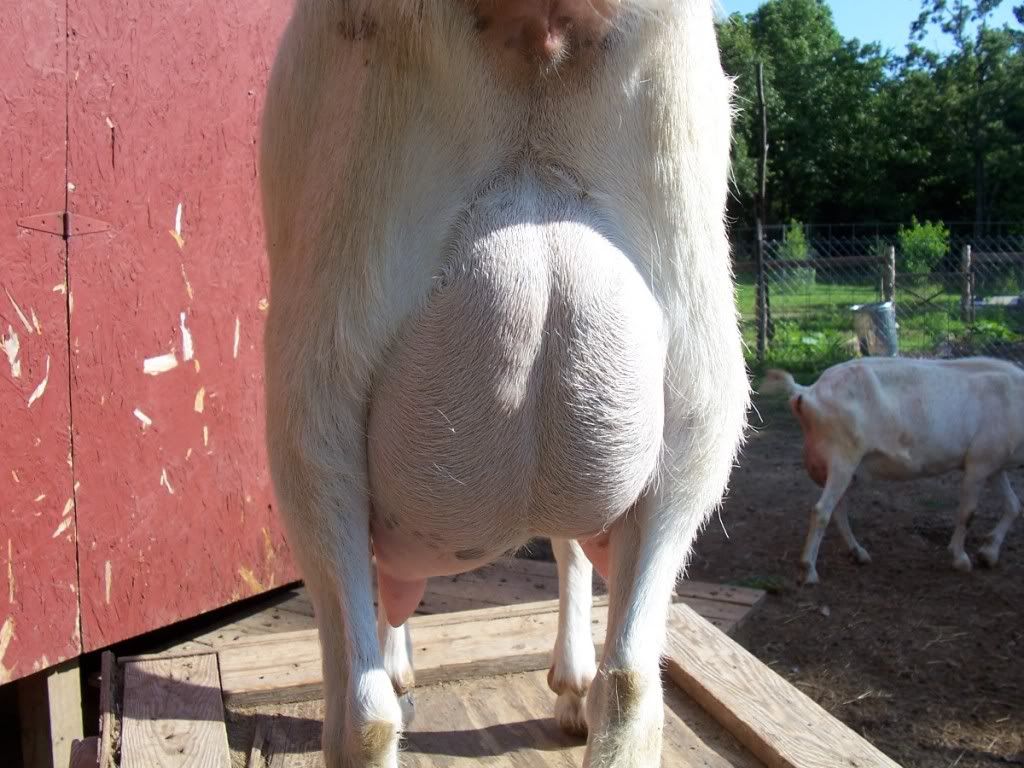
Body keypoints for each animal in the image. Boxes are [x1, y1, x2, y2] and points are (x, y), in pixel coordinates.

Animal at [762, 358, 1024, 584]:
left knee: (838, 510)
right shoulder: (978, 464)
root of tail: (806, 392)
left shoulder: (995, 464)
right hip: (843, 459)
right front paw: (961, 558)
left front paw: (989, 554)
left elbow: (1013, 506)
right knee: (822, 511)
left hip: (847, 468)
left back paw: (858, 553)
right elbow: (967, 514)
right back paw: (808, 570)